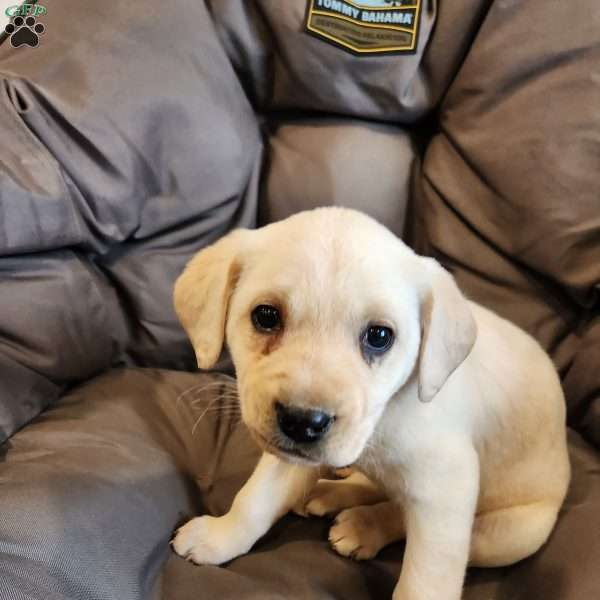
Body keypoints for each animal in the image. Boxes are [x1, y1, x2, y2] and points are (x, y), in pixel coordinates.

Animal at [171, 207, 568, 600]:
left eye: (379, 336)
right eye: (266, 316)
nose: (303, 422)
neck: (384, 418)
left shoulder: (448, 488)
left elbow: (425, 581)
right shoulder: (289, 457)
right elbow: (255, 500)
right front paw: (219, 536)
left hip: (513, 534)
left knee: (405, 517)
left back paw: (363, 525)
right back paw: (331, 492)